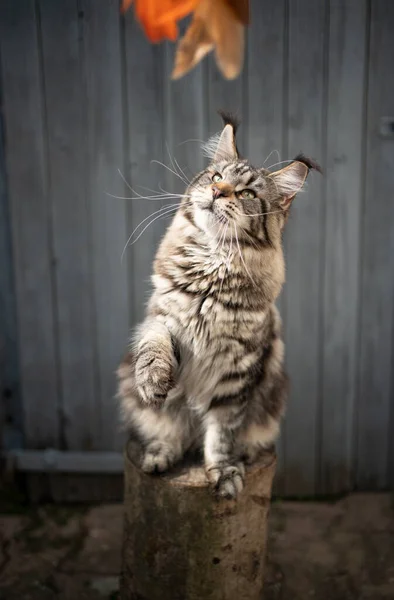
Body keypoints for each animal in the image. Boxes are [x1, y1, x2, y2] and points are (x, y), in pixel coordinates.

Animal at [117, 111, 320, 496]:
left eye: (246, 193)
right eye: (215, 178)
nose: (215, 192)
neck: (211, 270)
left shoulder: (238, 373)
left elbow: (222, 433)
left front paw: (224, 473)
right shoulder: (163, 316)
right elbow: (154, 341)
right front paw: (152, 378)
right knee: (171, 430)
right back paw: (159, 455)